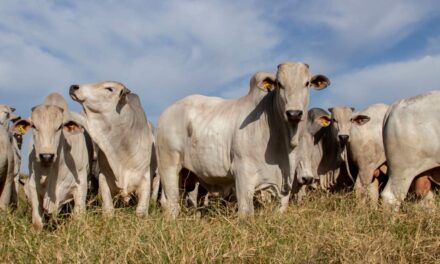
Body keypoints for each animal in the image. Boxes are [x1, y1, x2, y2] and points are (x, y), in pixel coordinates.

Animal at [12, 93, 91, 229]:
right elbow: (37, 222)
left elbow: (78, 217)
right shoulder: (33, 186)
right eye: (34, 126)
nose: (46, 156)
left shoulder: (80, 185)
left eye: (59, 127)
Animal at [69, 81, 157, 217]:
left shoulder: (146, 178)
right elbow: (108, 209)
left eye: (109, 89)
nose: (74, 87)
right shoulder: (103, 177)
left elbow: (141, 211)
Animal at [156, 62, 328, 219]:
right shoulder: (243, 174)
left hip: (187, 175)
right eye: (279, 84)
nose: (294, 113)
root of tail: (166, 113)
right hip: (169, 166)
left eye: (307, 83)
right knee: (172, 204)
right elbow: (246, 212)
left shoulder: (283, 185)